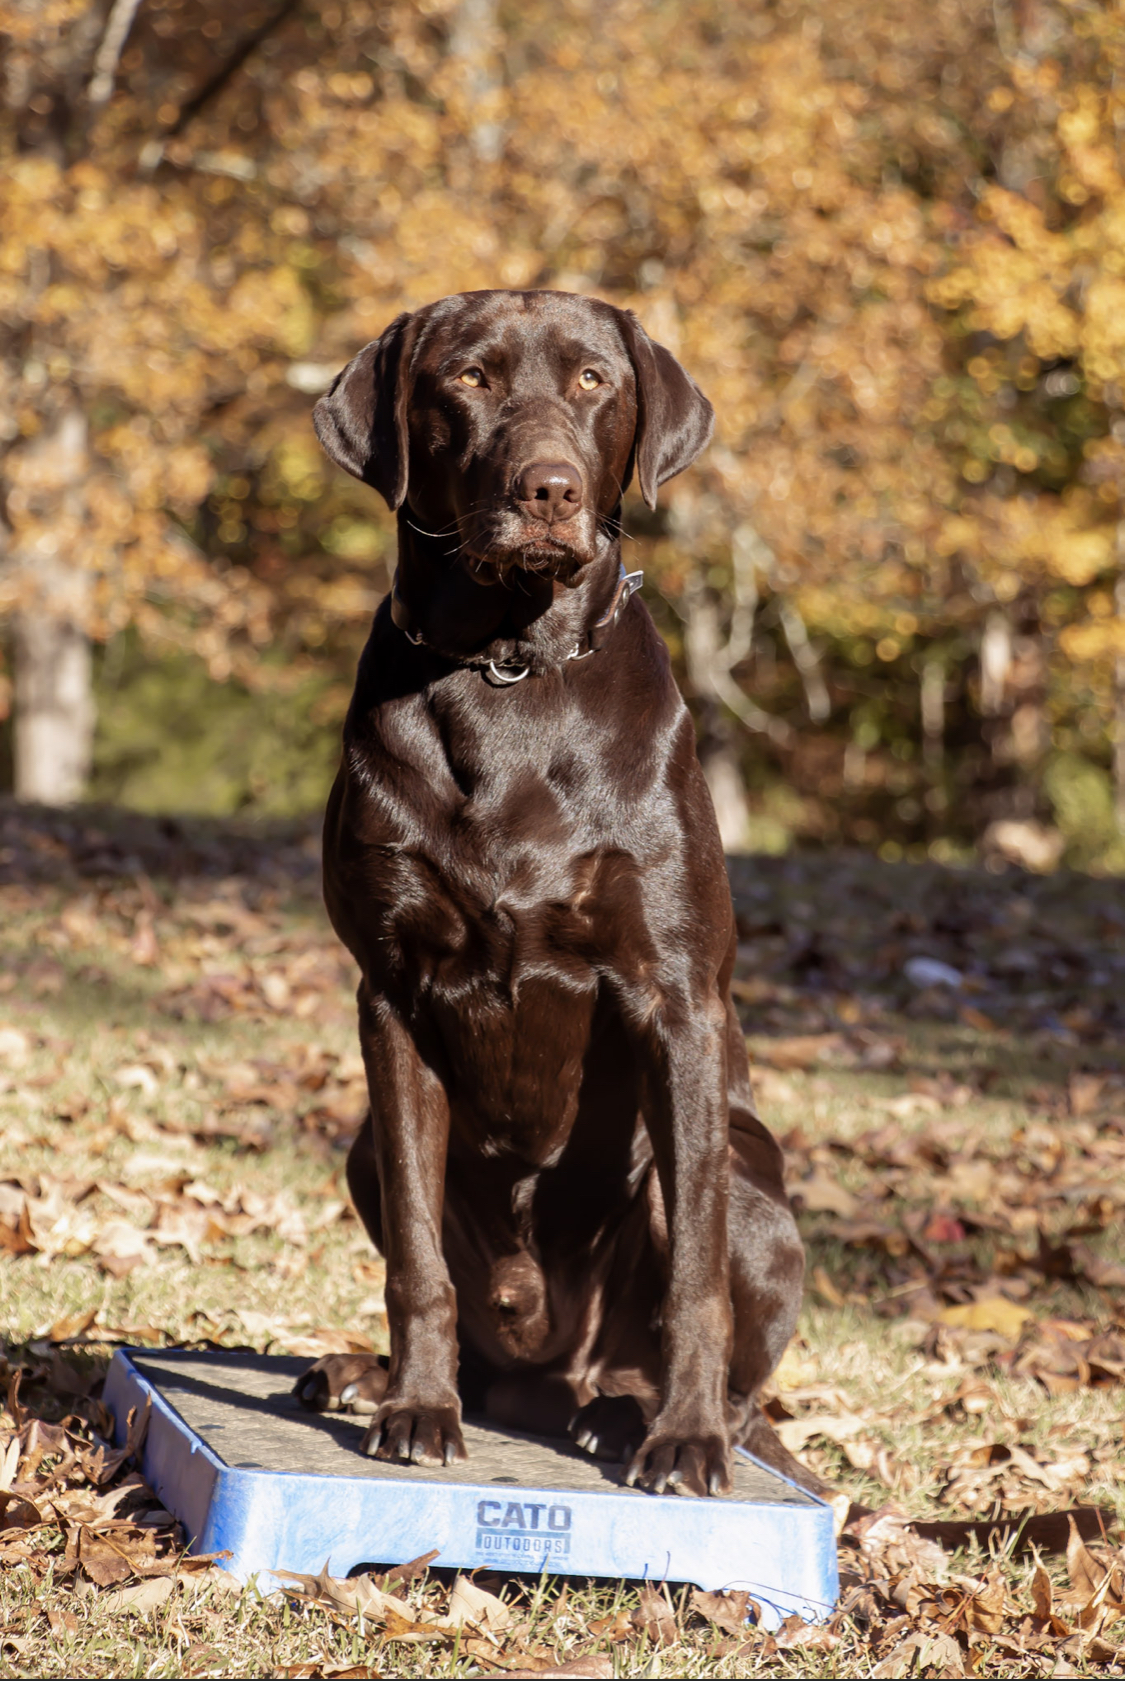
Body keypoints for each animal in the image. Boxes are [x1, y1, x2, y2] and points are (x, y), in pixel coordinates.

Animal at [294, 289, 803, 1499]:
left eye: (590, 381)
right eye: (469, 379)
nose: (550, 490)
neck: (506, 668)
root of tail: (551, 1369)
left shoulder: (676, 1001)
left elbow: (694, 1278)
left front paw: (684, 1439)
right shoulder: (392, 994)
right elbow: (418, 1261)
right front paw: (417, 1405)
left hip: (753, 1184)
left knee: (713, 1336)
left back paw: (638, 1416)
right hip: (361, 1149)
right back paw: (378, 1376)